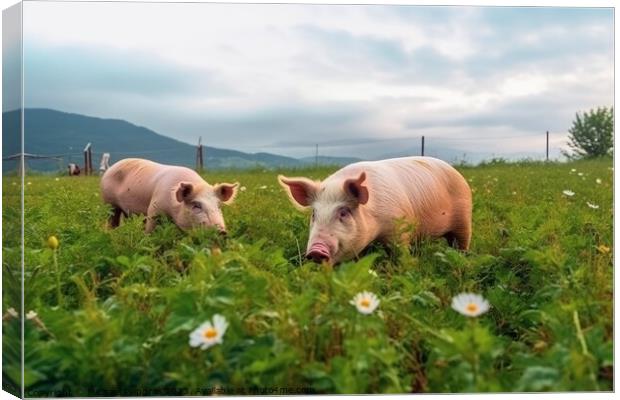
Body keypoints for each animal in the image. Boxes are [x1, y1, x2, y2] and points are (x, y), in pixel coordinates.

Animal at [100, 159, 239, 234]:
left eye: (219, 206)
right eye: (196, 205)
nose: (222, 231)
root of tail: (111, 167)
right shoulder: (153, 209)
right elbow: (150, 230)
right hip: (109, 204)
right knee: (112, 221)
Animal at [278, 156, 472, 266]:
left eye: (343, 212)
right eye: (314, 214)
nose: (316, 250)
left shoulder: (399, 228)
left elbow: (400, 253)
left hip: (464, 218)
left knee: (462, 242)